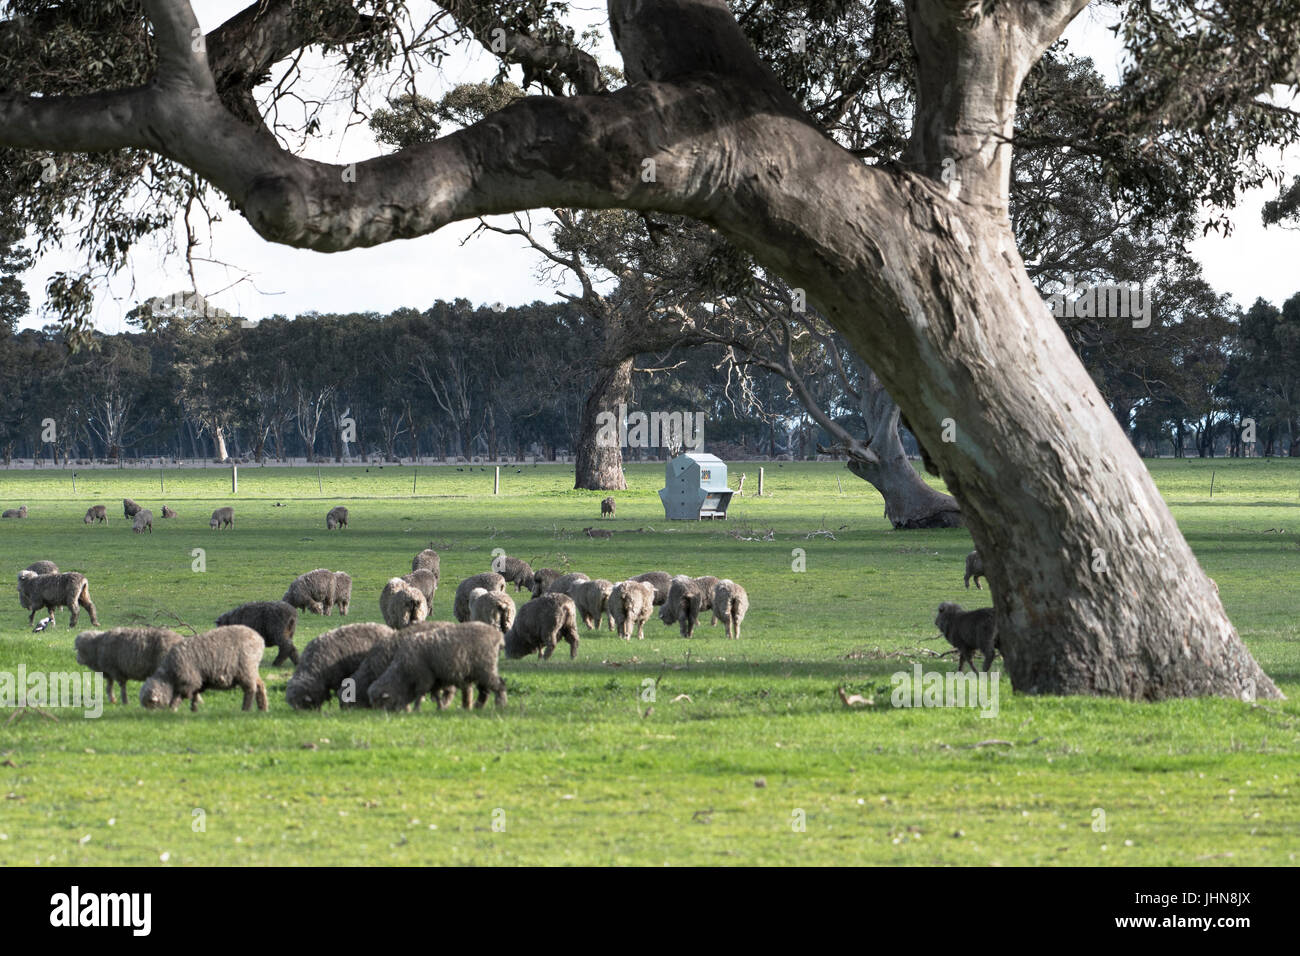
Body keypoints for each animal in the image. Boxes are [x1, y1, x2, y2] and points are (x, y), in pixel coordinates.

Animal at [369, 621, 509, 712]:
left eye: (381, 702)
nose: (379, 715)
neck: (403, 673)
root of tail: (497, 636)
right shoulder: (435, 679)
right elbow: (435, 694)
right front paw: (440, 707)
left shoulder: (424, 677)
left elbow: (420, 693)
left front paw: (416, 709)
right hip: (480, 671)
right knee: (485, 689)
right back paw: (478, 706)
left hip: (486, 668)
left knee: (499, 684)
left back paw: (501, 704)